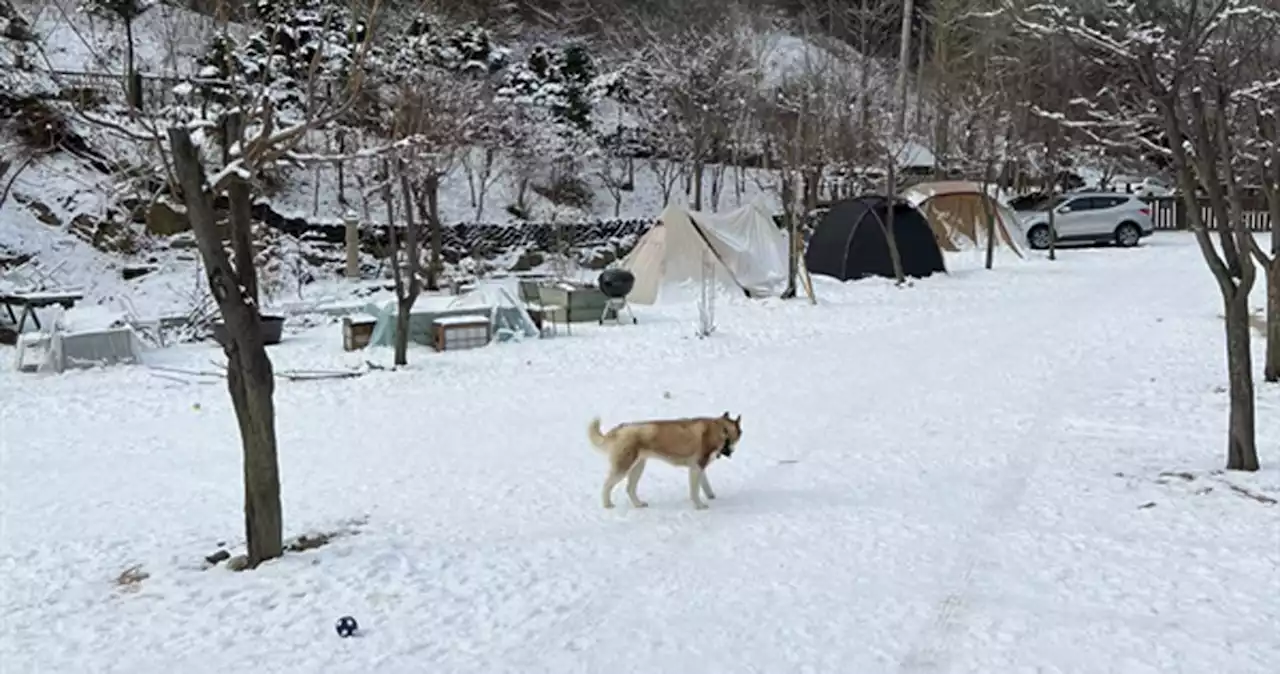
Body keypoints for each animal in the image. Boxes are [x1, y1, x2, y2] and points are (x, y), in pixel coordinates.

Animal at [586, 411, 742, 511]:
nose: (731, 452)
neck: (720, 430)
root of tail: (619, 430)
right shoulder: (696, 467)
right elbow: (694, 491)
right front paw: (699, 506)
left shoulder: (699, 467)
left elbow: (705, 484)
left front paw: (710, 496)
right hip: (623, 467)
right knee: (607, 485)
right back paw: (607, 505)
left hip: (638, 467)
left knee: (630, 489)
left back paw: (639, 504)